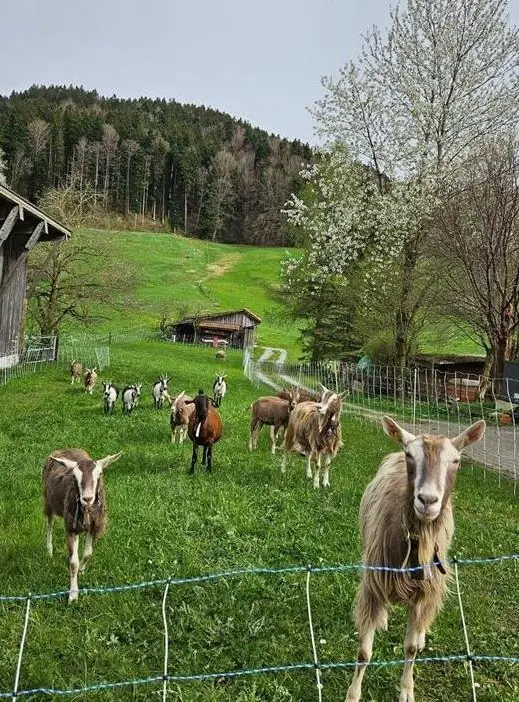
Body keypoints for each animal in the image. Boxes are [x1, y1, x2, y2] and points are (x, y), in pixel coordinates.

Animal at [43, 448, 122, 603]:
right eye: (74, 476)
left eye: (100, 473)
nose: (87, 498)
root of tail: (66, 448)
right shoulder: (71, 528)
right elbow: (73, 563)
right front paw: (73, 595)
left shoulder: (94, 526)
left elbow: (87, 553)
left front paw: (82, 570)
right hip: (48, 501)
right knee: (50, 523)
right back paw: (49, 550)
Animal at [345, 416, 486, 702]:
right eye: (410, 455)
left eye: (456, 460)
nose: (427, 500)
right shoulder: (373, 584)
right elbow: (364, 652)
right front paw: (352, 694)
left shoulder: (426, 589)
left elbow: (409, 648)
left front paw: (407, 690)